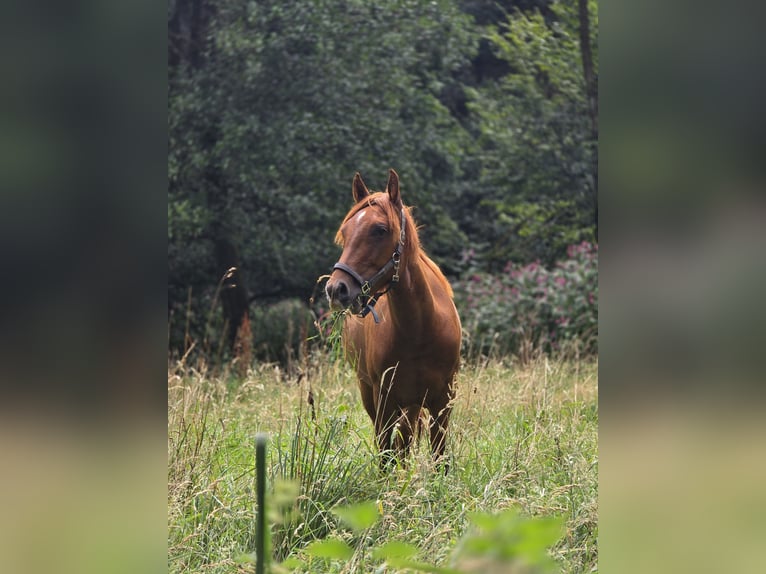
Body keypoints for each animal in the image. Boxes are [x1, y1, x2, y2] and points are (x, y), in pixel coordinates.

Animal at [326, 169, 462, 470]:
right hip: (372, 393)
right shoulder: (384, 399)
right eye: (345, 233)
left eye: (380, 230)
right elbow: (386, 456)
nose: (336, 289)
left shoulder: (442, 401)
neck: (421, 330)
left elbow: (439, 458)